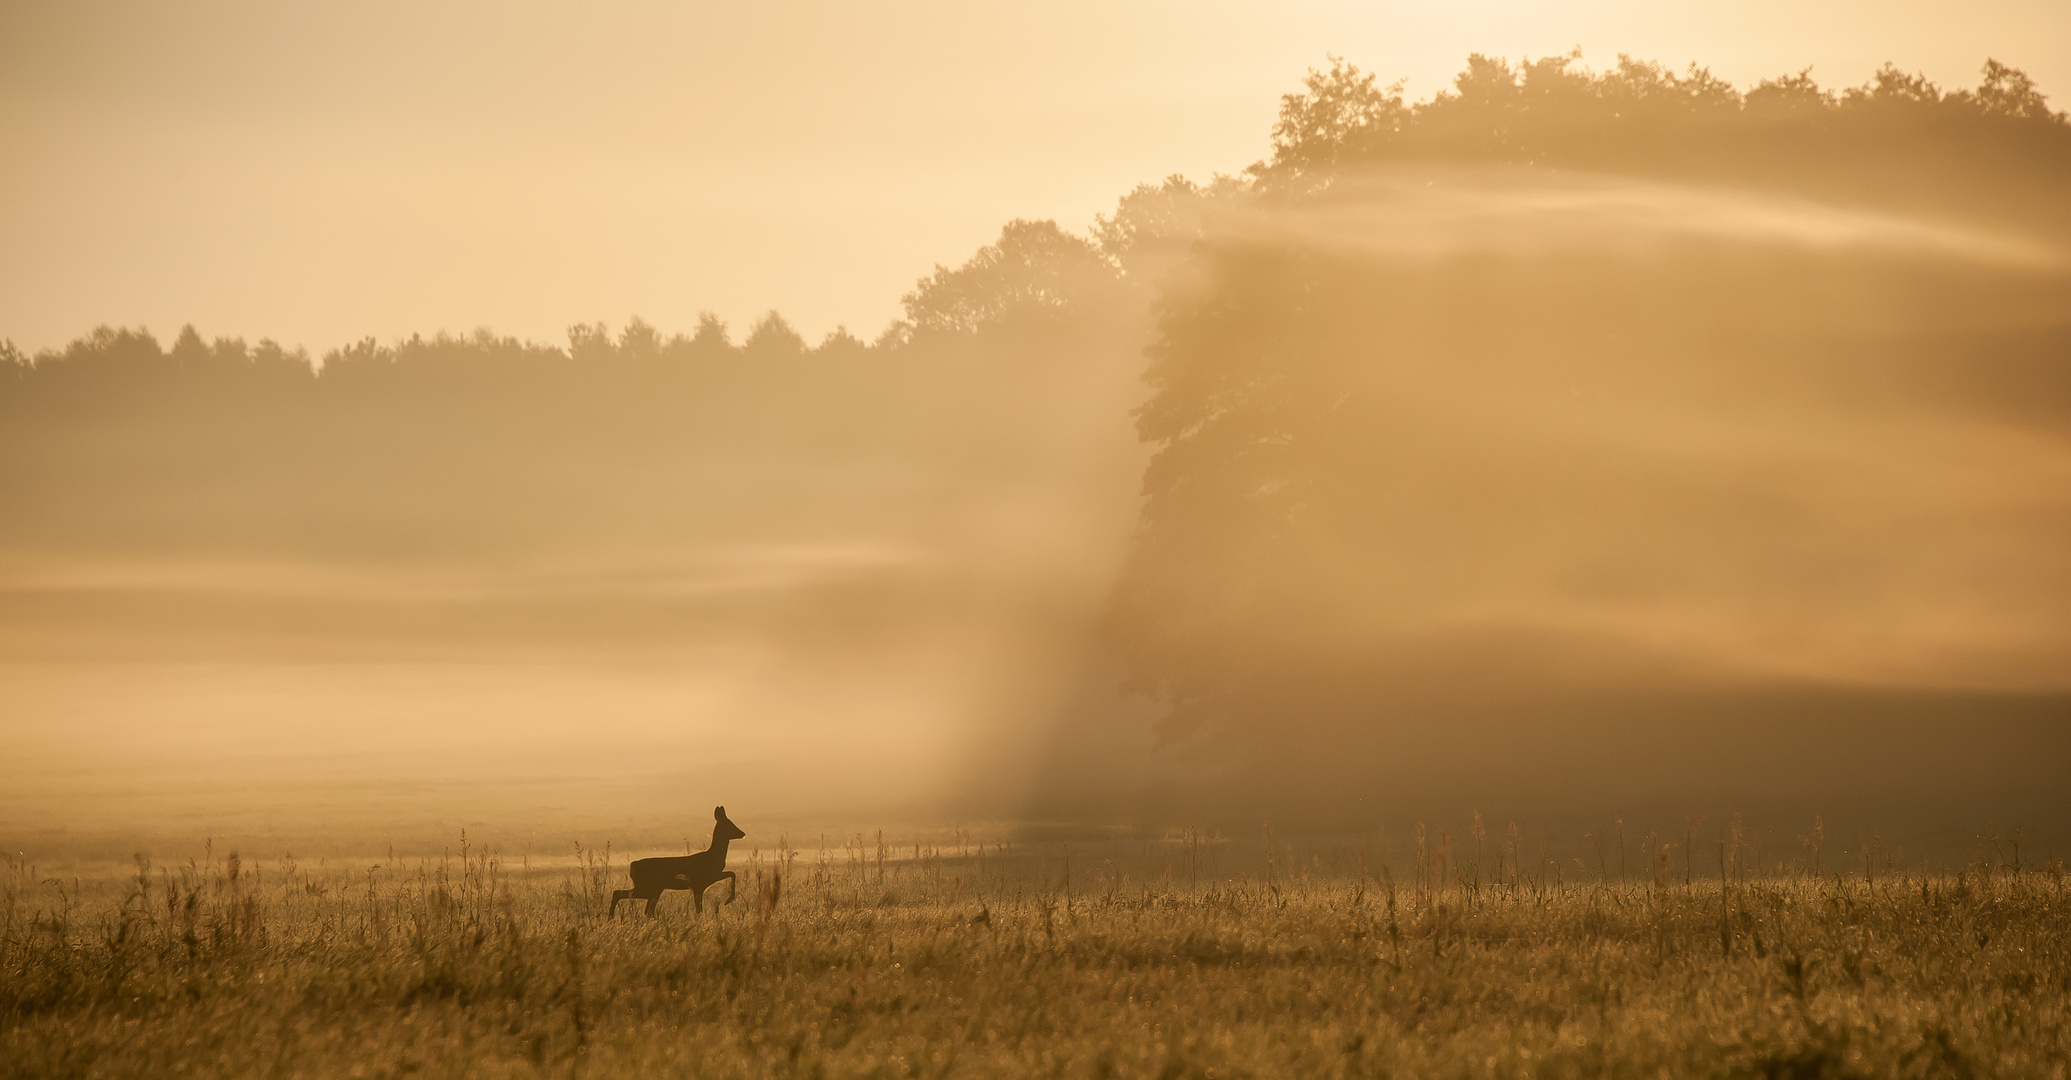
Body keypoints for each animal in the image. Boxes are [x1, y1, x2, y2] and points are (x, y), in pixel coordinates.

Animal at [608, 804, 749, 912]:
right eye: (729, 824)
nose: (743, 833)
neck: (713, 856)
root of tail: (632, 865)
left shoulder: (705, 882)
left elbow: (732, 873)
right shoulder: (699, 883)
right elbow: (699, 909)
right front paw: (728, 900)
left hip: (654, 889)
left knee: (646, 910)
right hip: (646, 887)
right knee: (618, 893)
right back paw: (611, 918)